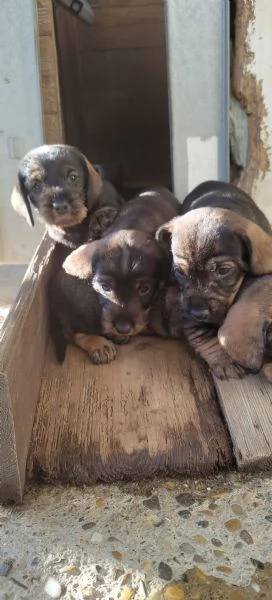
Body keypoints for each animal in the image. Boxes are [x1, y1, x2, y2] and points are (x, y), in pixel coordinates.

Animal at [157, 180, 272, 380]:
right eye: (179, 271)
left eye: (223, 270)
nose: (197, 312)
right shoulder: (187, 308)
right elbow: (205, 336)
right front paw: (224, 361)